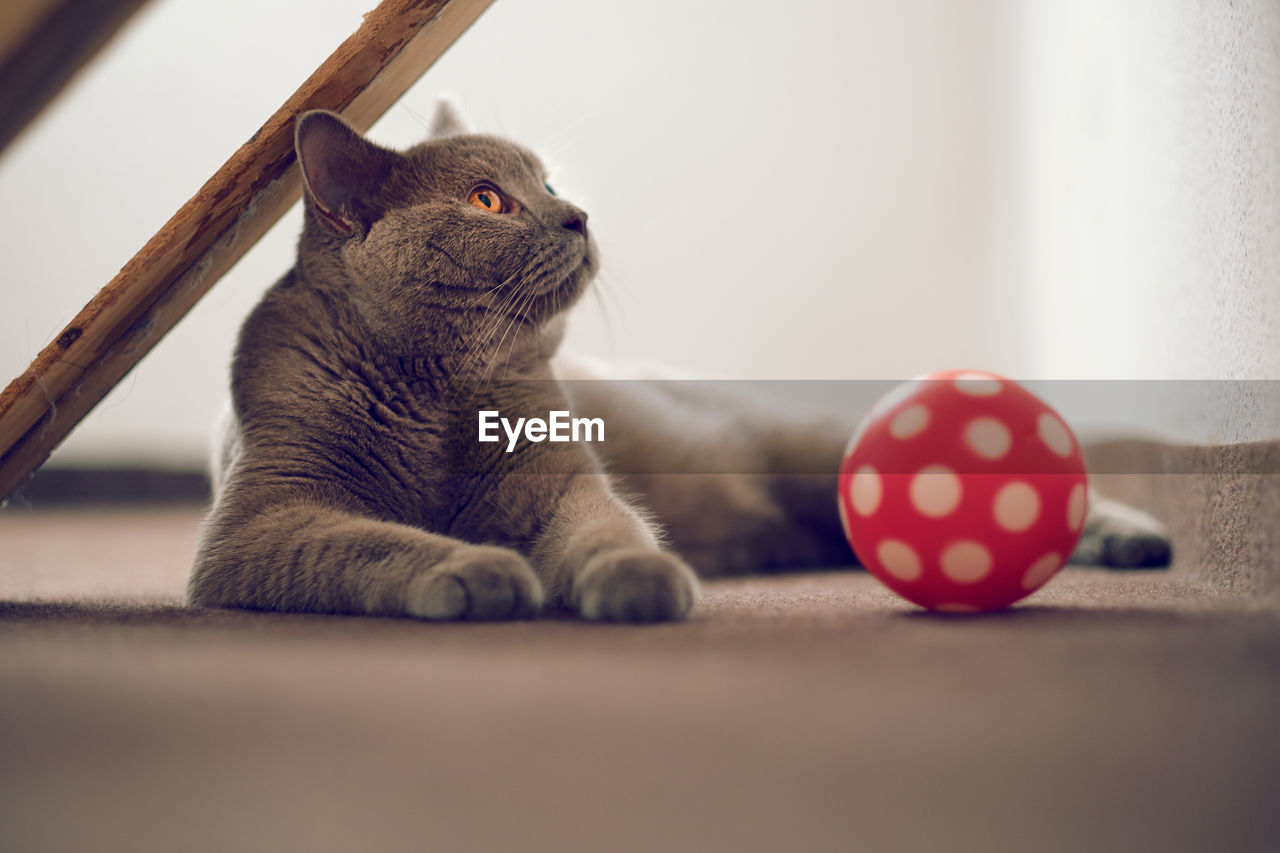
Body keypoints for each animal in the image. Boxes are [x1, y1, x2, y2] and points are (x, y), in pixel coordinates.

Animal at [189, 103, 1172, 622]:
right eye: (489, 200)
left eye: (548, 180)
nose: (578, 213)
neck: (441, 397)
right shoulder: (264, 520)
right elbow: (371, 540)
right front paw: (477, 570)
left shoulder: (563, 482)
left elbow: (610, 527)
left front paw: (640, 580)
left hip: (821, 449)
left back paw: (1134, 538)